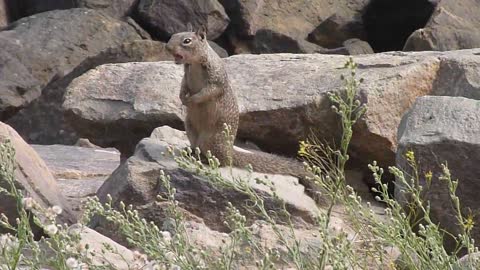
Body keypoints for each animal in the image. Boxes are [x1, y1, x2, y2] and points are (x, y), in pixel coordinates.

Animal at [165, 26, 318, 196]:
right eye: (172, 36)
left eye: (187, 41)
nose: (167, 47)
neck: (195, 64)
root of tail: (231, 151)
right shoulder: (186, 76)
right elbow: (183, 85)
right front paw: (182, 97)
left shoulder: (216, 80)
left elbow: (207, 92)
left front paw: (191, 100)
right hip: (191, 131)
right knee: (197, 147)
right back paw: (190, 151)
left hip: (211, 140)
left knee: (223, 161)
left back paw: (207, 160)